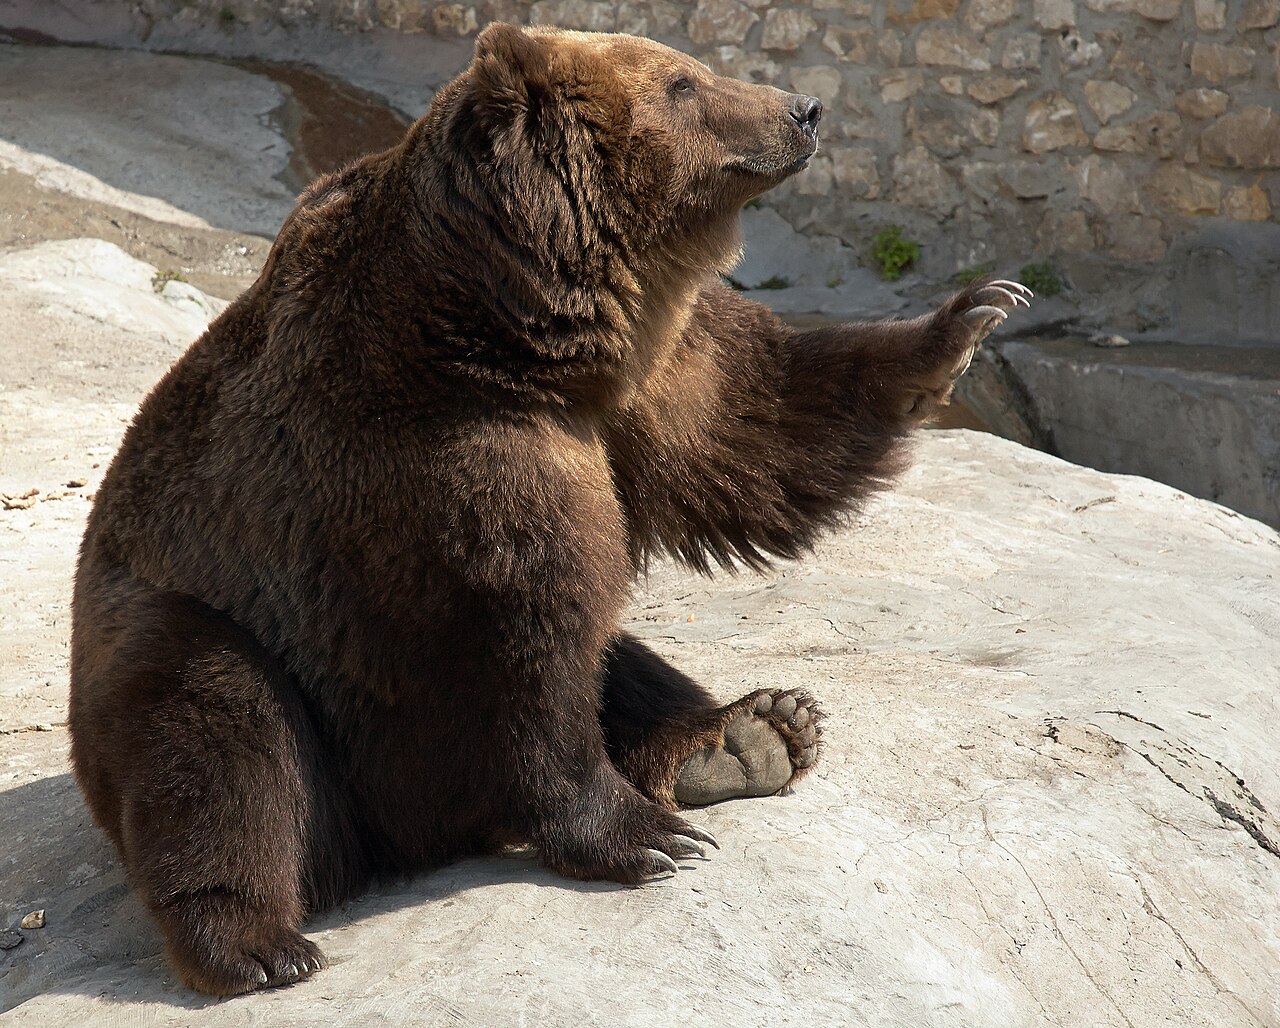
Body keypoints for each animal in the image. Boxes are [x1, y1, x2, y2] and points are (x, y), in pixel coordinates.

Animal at [68, 23, 1030, 996]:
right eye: (684, 82)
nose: (805, 109)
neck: (511, 325)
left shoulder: (646, 372)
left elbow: (756, 420)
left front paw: (970, 317)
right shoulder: (440, 463)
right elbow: (522, 646)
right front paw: (645, 837)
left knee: (624, 657)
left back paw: (751, 732)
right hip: (216, 640)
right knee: (217, 734)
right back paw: (256, 944)